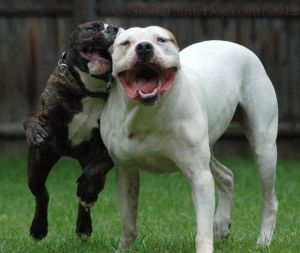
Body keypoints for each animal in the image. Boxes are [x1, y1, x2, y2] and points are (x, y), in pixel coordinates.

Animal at [23, 21, 117, 239]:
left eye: (116, 29)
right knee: (41, 193)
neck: (90, 89)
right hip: (38, 166)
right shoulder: (44, 115)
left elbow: (92, 173)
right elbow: (31, 120)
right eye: (92, 28)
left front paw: (85, 190)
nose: (112, 30)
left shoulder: (106, 152)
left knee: (88, 194)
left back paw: (84, 224)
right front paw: (36, 132)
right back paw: (38, 228)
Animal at [101, 26, 278, 253]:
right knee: (227, 175)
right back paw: (221, 225)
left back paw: (263, 239)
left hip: (263, 149)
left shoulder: (199, 176)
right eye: (126, 43)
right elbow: (127, 220)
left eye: (161, 39)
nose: (144, 47)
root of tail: (235, 45)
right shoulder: (125, 171)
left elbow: (202, 229)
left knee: (269, 199)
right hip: (209, 152)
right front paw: (124, 248)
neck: (147, 112)